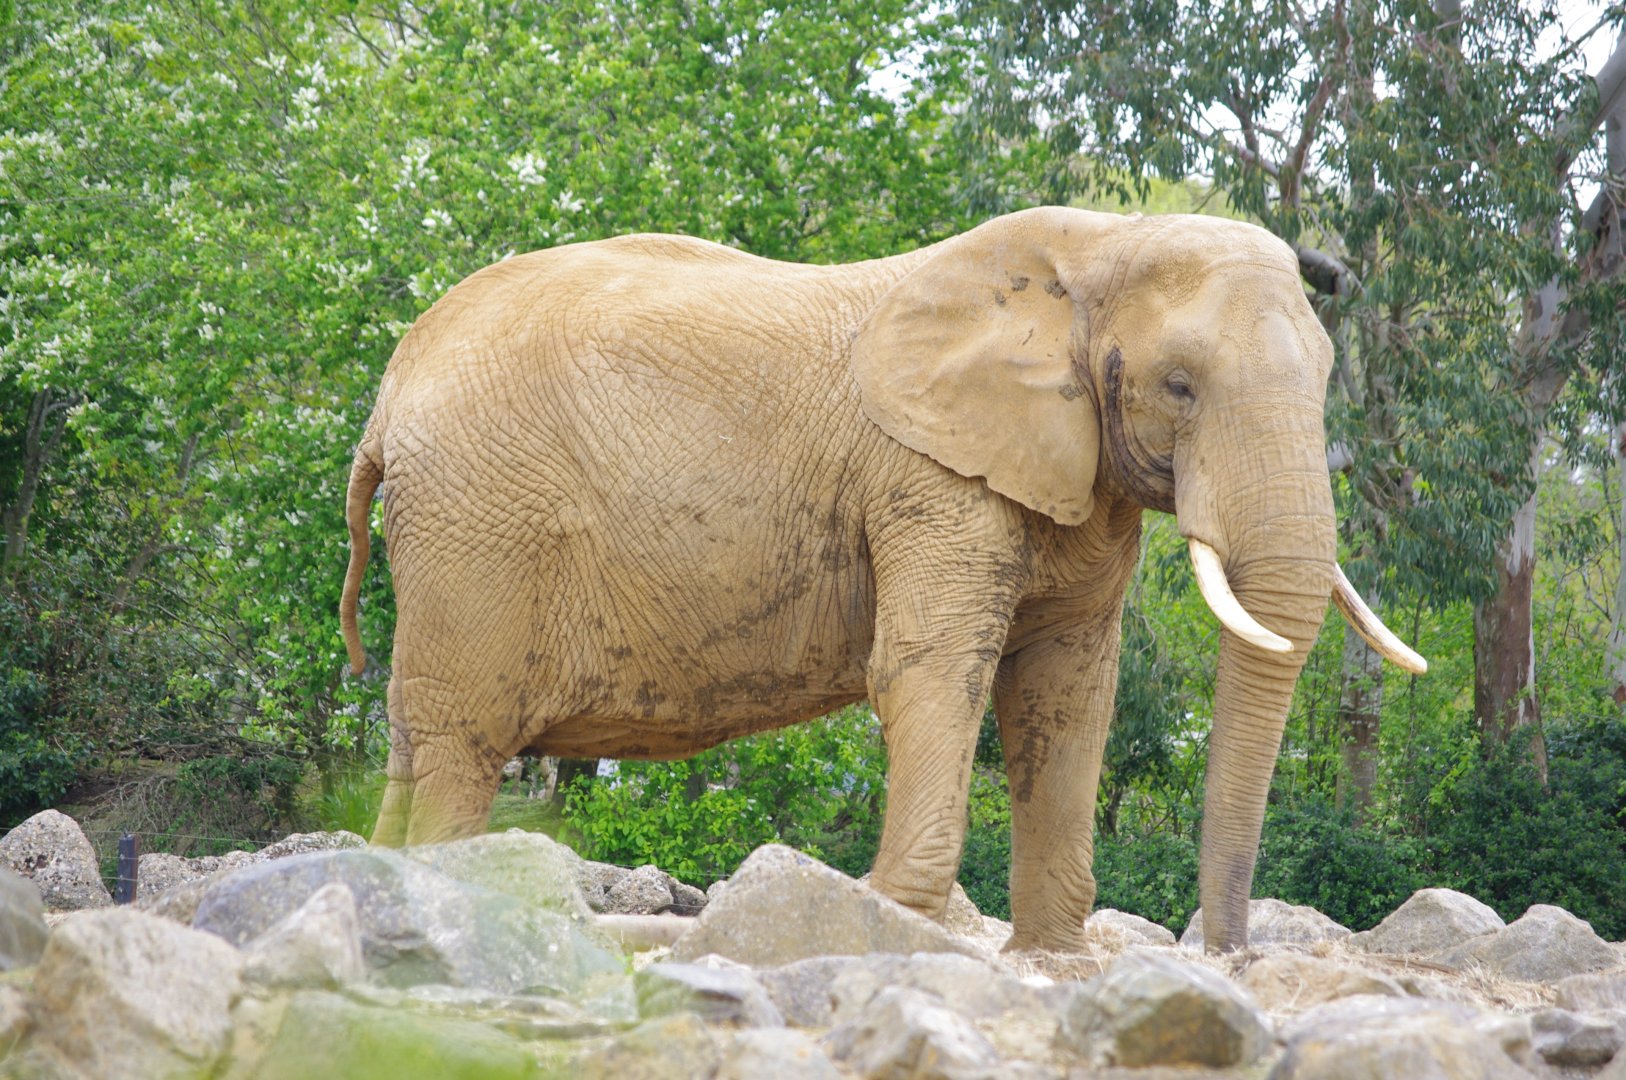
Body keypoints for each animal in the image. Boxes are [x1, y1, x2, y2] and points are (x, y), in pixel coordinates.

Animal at [339, 207, 1425, 953]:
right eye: (1181, 386)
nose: (1231, 955)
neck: (1091, 252)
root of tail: (387, 396)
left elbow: (1068, 691)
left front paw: (1055, 961)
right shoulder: (929, 478)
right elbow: (933, 667)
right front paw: (897, 926)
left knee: (412, 742)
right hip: (478, 525)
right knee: (463, 749)